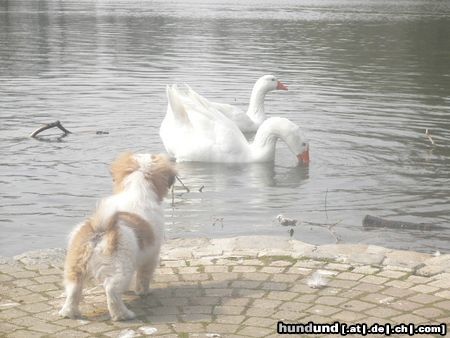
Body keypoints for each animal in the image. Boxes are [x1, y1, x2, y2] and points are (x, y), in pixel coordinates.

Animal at [59, 154, 178, 322]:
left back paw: (69, 313)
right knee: (112, 291)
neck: (137, 191)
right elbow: (144, 276)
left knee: (73, 290)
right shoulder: (151, 257)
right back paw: (122, 314)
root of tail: (100, 231)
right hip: (120, 269)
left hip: (75, 267)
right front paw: (143, 291)